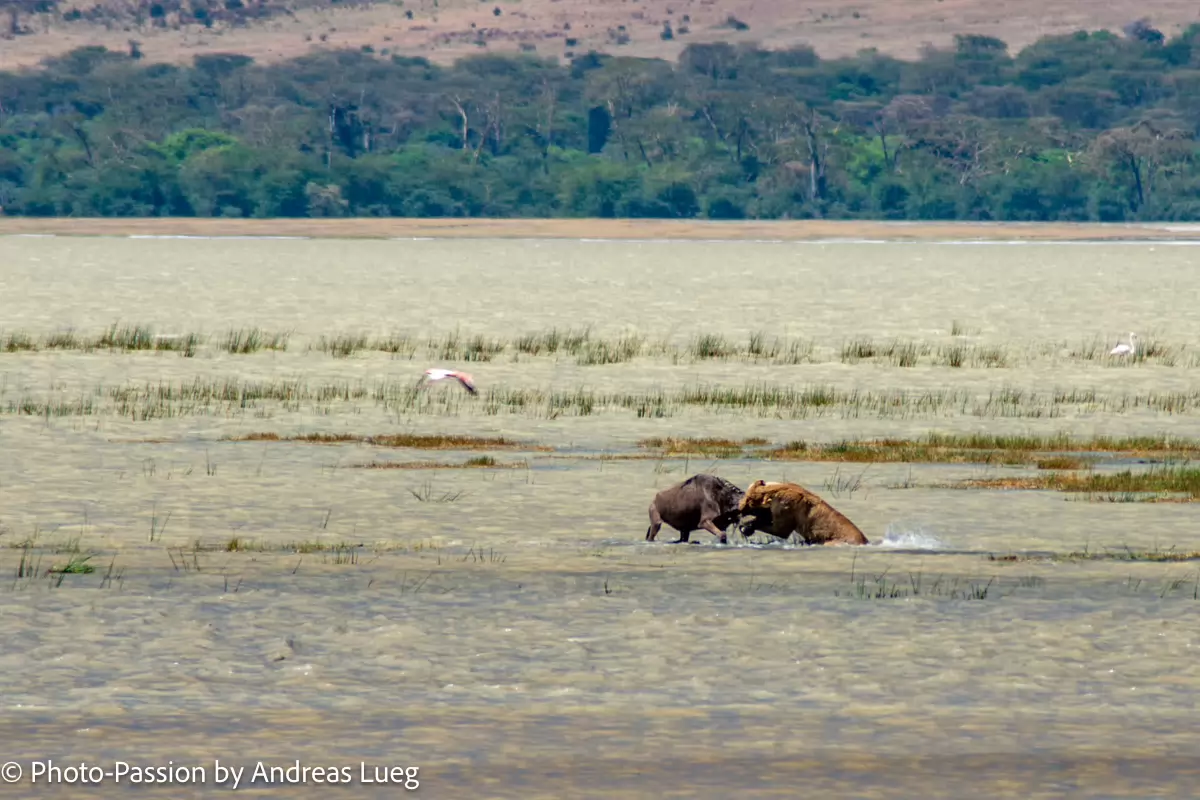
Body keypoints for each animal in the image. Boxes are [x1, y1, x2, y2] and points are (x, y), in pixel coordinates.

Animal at [737, 480, 869, 546]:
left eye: (748, 499)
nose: (739, 506)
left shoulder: (787, 508)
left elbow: (780, 530)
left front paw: (746, 527)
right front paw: (748, 526)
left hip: (836, 540)